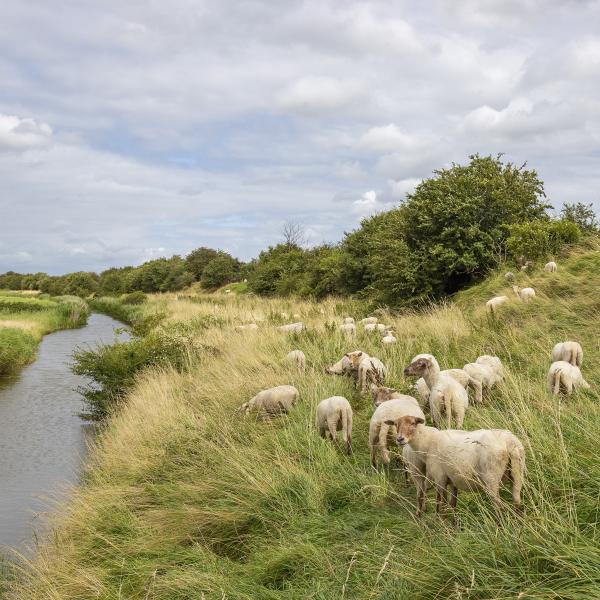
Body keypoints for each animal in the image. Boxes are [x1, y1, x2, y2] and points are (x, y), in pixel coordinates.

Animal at [386, 418, 524, 516]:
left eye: (413, 423)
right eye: (395, 424)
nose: (400, 439)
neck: (428, 442)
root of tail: (509, 442)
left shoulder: (440, 477)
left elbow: (439, 501)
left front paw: (439, 522)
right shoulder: (453, 478)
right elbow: (452, 503)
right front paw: (453, 524)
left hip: (491, 478)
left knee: (499, 507)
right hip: (517, 473)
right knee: (516, 502)